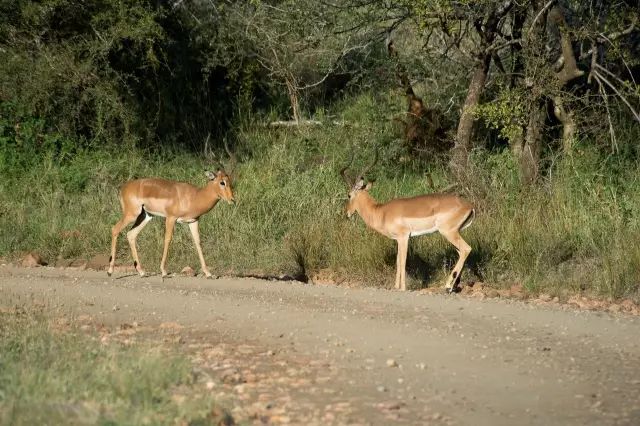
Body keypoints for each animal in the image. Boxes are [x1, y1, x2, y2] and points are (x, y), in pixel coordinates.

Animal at [107, 147, 238, 280]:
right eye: (222, 182)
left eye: (229, 181)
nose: (232, 199)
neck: (195, 196)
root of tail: (124, 188)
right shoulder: (171, 218)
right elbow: (168, 239)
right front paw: (163, 271)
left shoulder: (193, 221)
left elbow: (198, 242)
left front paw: (208, 273)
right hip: (131, 214)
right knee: (115, 229)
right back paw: (110, 271)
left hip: (145, 216)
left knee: (131, 234)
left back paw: (142, 272)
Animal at [342, 153, 472, 292]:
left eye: (349, 195)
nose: (347, 213)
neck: (381, 212)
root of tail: (469, 206)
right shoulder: (398, 240)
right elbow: (398, 261)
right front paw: (395, 286)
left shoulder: (404, 237)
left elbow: (403, 261)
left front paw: (402, 288)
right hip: (454, 234)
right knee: (461, 252)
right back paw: (454, 285)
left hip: (448, 233)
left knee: (466, 249)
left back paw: (448, 286)